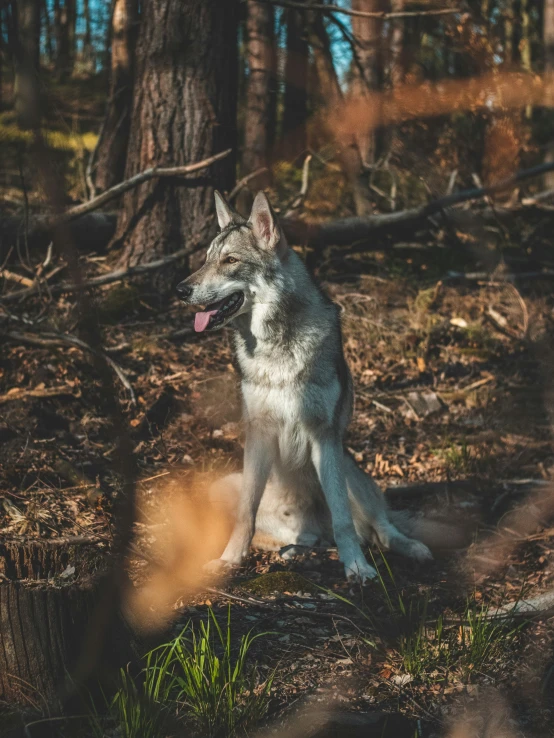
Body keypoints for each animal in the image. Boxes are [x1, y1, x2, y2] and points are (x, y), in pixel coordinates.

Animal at [176, 190, 436, 580]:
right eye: (207, 260)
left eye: (230, 260)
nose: (180, 289)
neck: (276, 349)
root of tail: (313, 526)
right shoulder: (259, 433)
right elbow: (245, 515)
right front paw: (229, 560)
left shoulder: (323, 436)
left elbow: (343, 520)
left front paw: (357, 567)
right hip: (219, 488)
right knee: (299, 535)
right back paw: (296, 550)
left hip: (348, 468)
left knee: (383, 529)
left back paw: (409, 548)